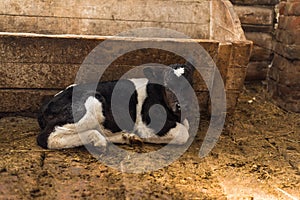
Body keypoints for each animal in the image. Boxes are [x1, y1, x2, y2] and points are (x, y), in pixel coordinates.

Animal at [36, 63, 196, 149]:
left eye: (190, 84)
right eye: (168, 85)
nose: (181, 106)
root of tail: (45, 105)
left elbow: (187, 126)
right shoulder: (148, 124)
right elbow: (184, 133)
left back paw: (127, 137)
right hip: (90, 105)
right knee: (47, 137)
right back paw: (97, 140)